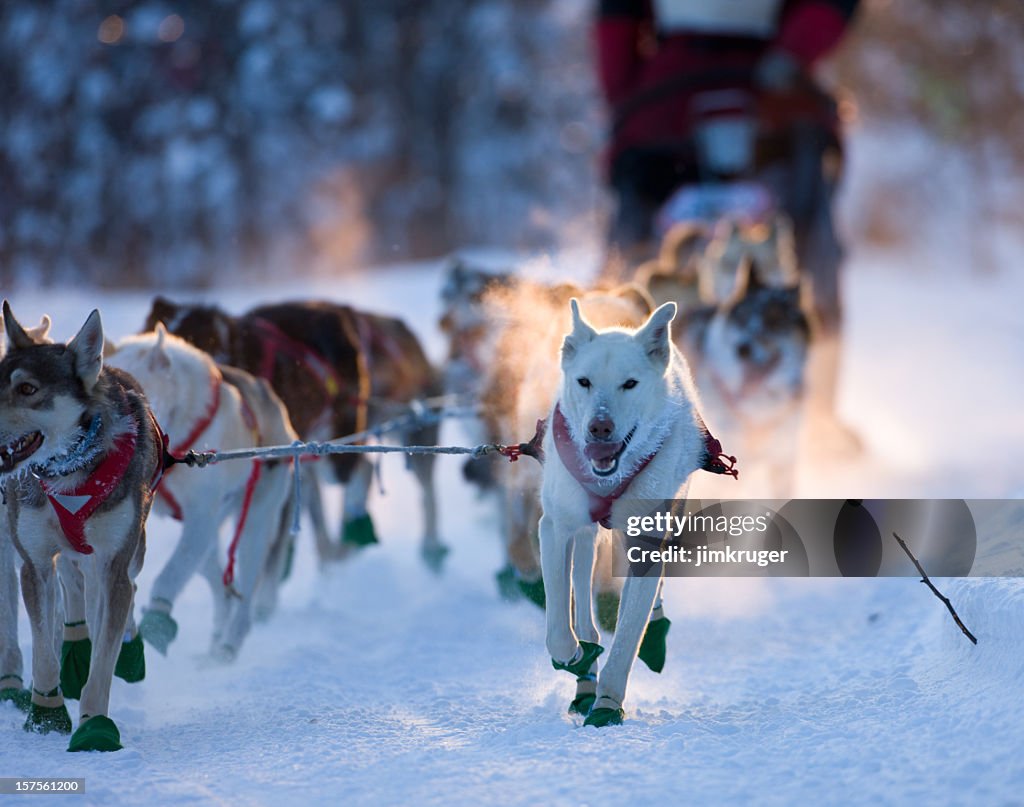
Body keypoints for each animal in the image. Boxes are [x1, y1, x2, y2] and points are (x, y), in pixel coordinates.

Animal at [0, 303, 161, 749]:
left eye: (28, 389)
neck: (69, 468)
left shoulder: (113, 562)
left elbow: (104, 658)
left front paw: (94, 724)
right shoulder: (34, 563)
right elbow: (43, 651)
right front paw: (46, 714)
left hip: (126, 554)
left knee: (116, 594)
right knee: (72, 591)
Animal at [109, 325, 299, 659]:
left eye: (136, 395)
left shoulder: (200, 514)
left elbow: (170, 575)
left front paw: (156, 623)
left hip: (254, 520)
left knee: (245, 587)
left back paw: (228, 646)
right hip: (209, 533)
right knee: (219, 583)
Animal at [536, 299, 729, 729]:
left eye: (630, 383)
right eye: (584, 381)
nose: (599, 427)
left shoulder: (646, 542)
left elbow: (627, 636)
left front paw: (608, 704)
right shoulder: (555, 528)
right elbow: (558, 629)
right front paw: (577, 659)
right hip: (585, 534)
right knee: (582, 592)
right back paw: (585, 672)